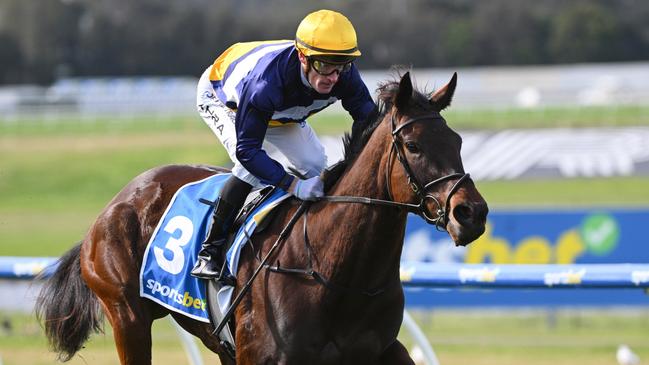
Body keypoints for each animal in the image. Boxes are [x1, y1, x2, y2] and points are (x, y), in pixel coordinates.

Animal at [35, 72, 486, 364]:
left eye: (458, 140)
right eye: (413, 145)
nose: (472, 212)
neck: (337, 274)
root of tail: (115, 203)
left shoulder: (382, 352)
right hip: (128, 315)